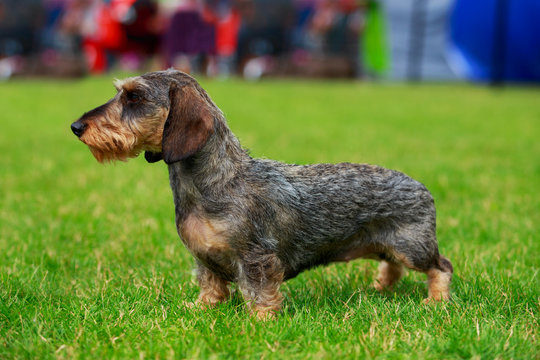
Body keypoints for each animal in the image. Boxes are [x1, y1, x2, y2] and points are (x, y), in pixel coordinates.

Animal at [70, 69, 452, 320]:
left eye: (134, 96)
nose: (76, 127)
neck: (217, 182)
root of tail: (420, 185)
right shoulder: (203, 258)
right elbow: (210, 286)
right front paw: (201, 308)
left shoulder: (256, 258)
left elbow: (260, 291)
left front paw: (261, 321)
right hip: (390, 246)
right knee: (392, 265)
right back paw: (380, 287)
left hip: (413, 247)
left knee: (441, 266)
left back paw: (436, 301)